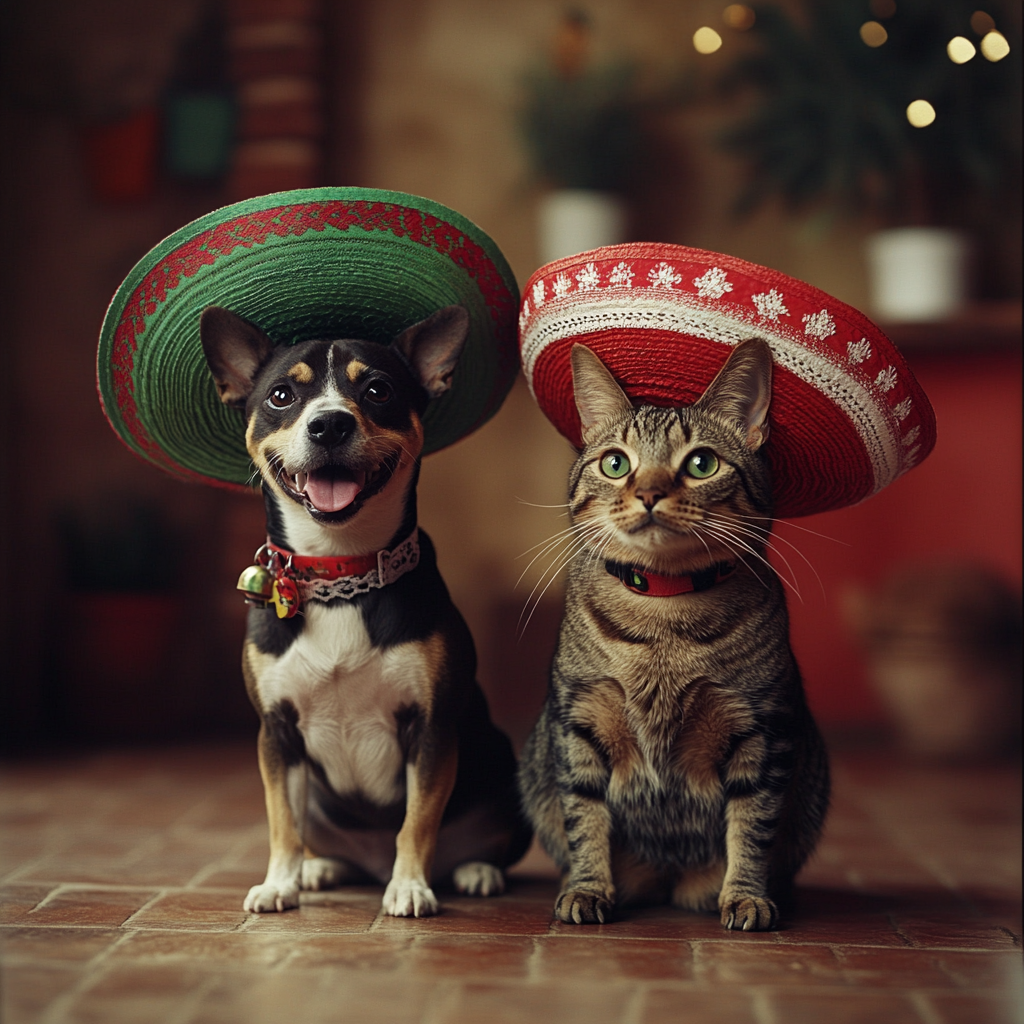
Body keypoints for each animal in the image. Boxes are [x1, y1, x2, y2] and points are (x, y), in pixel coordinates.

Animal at [202, 305, 532, 921]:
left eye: (378, 390)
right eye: (281, 395)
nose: (329, 425)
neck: (341, 575)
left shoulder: (431, 728)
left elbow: (417, 820)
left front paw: (409, 887)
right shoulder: (276, 734)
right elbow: (282, 821)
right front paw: (279, 883)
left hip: (502, 766)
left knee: (477, 843)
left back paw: (475, 871)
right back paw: (322, 868)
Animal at [520, 339, 831, 933]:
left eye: (701, 463)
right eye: (616, 463)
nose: (648, 493)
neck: (664, 620)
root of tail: (667, 883)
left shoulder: (762, 731)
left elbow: (752, 827)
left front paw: (746, 897)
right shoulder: (579, 721)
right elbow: (584, 819)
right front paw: (587, 888)